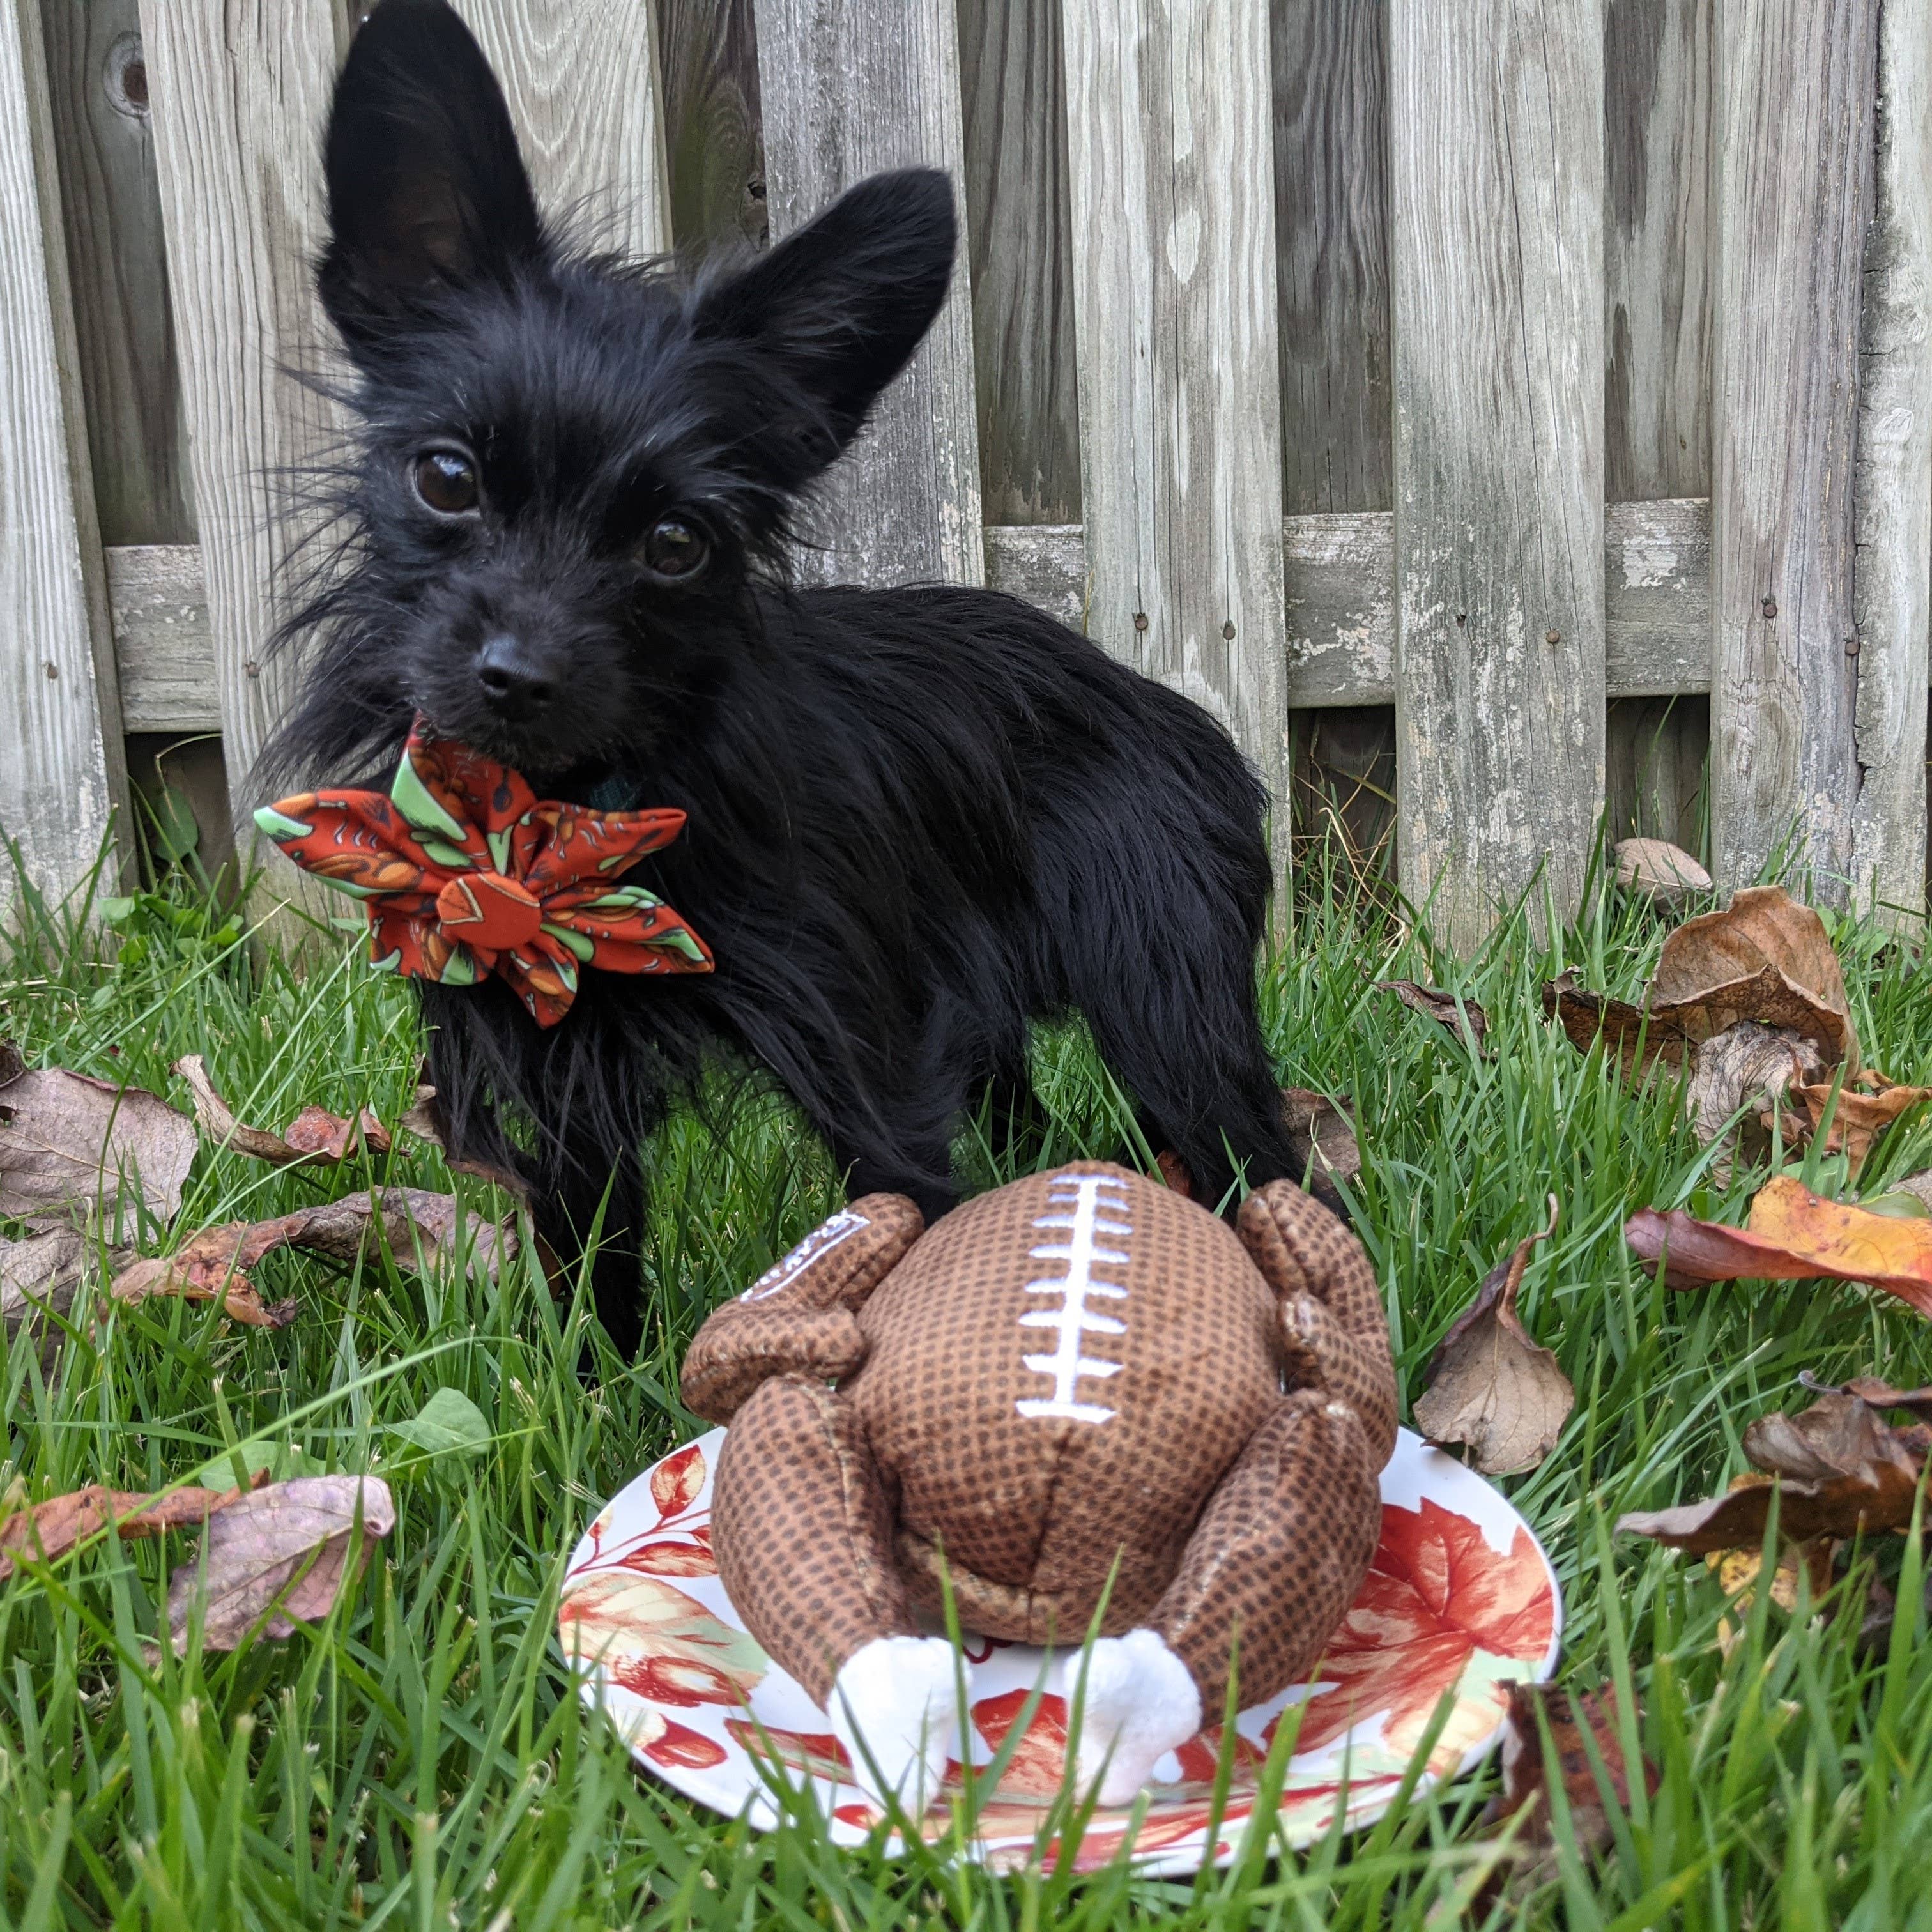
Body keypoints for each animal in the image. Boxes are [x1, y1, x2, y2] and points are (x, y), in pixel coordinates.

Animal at [268, 0, 1314, 1360]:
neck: (576, 811)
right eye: (445, 478)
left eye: (674, 544)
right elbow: (591, 1268)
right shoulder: (561, 1079)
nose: (519, 675)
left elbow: (906, 1232)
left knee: (1262, 1156)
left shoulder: (872, 1064)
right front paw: (600, 1391)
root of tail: (1166, 705)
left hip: (1167, 1010)